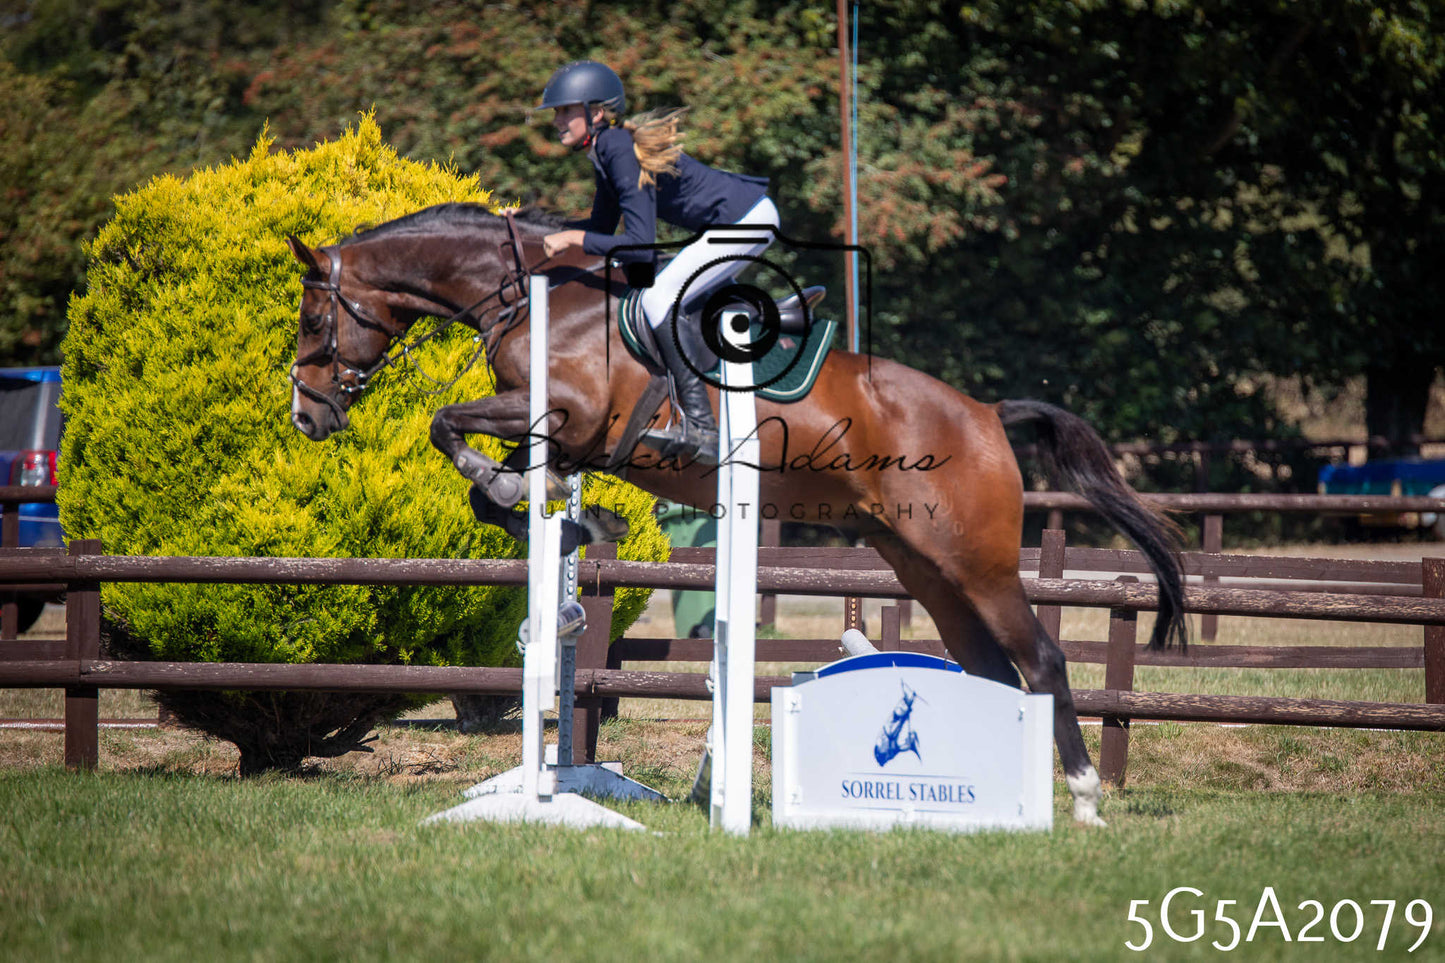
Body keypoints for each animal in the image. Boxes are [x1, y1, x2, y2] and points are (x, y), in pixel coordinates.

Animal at [285, 202, 1186, 826]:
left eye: (313, 317)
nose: (307, 416)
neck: (535, 298)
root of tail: (988, 413)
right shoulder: (555, 434)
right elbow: (490, 484)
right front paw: (577, 525)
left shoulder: (566, 416)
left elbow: (446, 426)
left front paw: (543, 508)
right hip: (922, 566)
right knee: (991, 669)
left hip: (976, 561)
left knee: (1042, 661)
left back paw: (1081, 798)